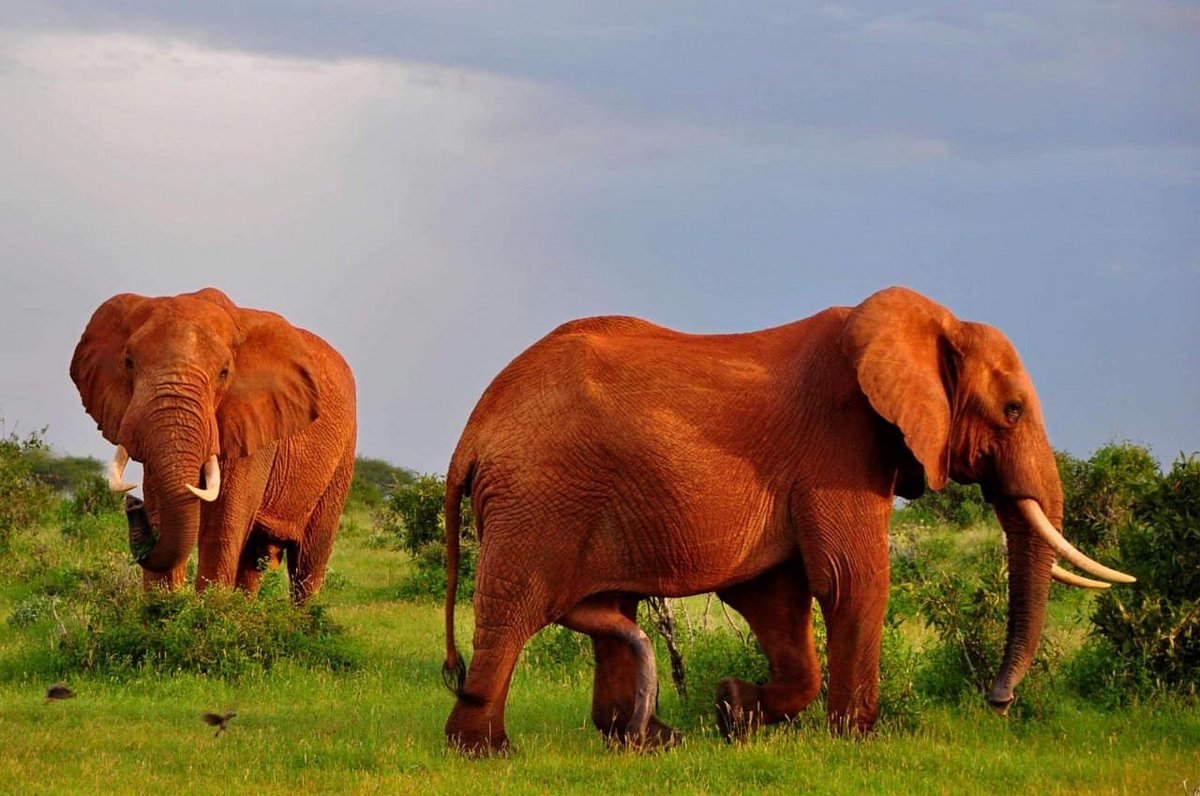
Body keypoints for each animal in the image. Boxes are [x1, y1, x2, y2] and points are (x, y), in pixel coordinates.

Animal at [70, 288, 357, 603]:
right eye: (129, 363)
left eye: (224, 373)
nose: (133, 504)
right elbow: (163, 510)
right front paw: (163, 608)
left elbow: (222, 524)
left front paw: (207, 609)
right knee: (254, 559)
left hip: (342, 457)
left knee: (308, 562)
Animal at [440, 286, 1134, 754]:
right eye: (1013, 411)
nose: (999, 702)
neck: (930, 325)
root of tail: (473, 431)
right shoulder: (841, 444)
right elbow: (853, 579)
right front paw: (857, 740)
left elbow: (776, 597)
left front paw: (733, 711)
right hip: (537, 497)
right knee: (513, 609)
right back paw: (486, 751)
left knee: (613, 609)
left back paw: (651, 741)